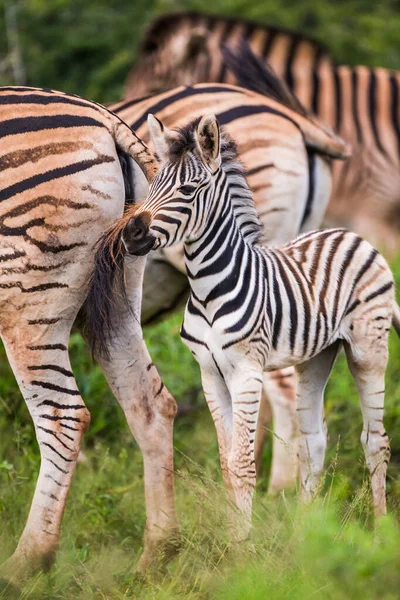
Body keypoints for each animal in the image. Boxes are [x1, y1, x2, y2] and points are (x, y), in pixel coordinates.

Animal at [0, 86, 178, 588]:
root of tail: (103, 117)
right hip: (121, 288)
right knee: (152, 404)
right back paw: (157, 557)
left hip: (26, 303)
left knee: (64, 416)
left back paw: (27, 563)